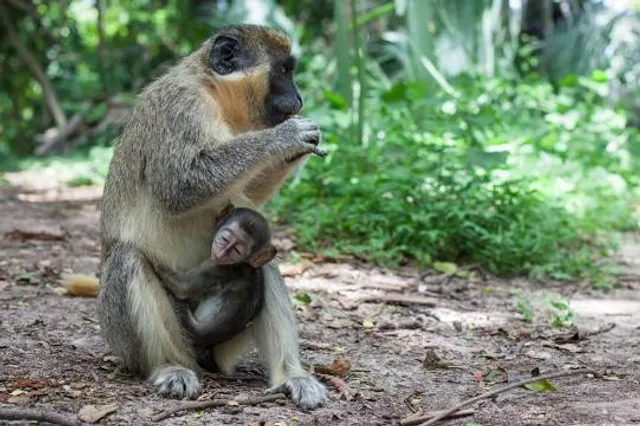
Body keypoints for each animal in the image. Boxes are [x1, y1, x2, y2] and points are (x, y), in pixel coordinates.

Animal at [92, 24, 328, 409]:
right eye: (283, 71)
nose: (299, 98)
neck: (212, 91)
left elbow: (249, 194)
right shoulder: (180, 108)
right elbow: (181, 185)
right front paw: (286, 137)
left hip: (227, 343)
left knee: (261, 264)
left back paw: (290, 375)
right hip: (143, 339)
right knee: (127, 259)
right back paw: (168, 366)